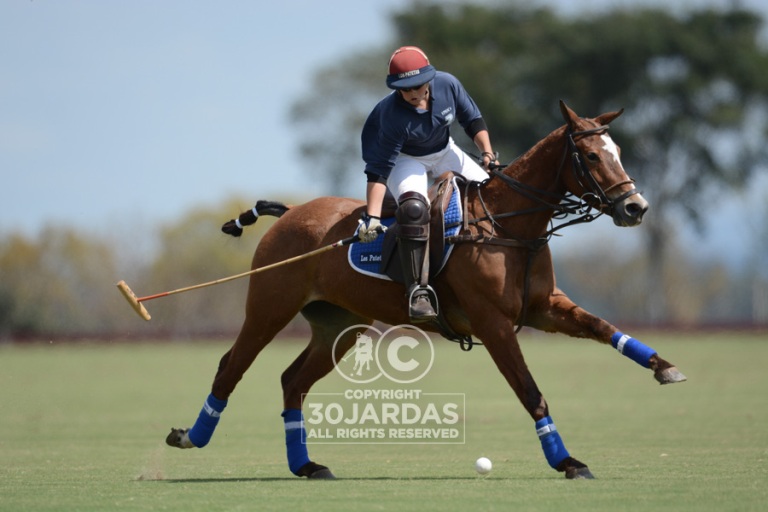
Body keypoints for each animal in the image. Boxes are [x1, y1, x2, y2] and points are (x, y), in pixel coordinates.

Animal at [166, 101, 684, 480]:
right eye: (592, 156)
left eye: (619, 150)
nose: (636, 207)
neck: (510, 225)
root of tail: (291, 212)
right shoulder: (494, 324)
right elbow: (530, 391)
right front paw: (567, 461)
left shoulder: (544, 309)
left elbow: (602, 326)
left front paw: (664, 366)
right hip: (268, 307)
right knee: (231, 366)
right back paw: (191, 436)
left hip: (341, 324)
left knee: (292, 380)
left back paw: (306, 465)